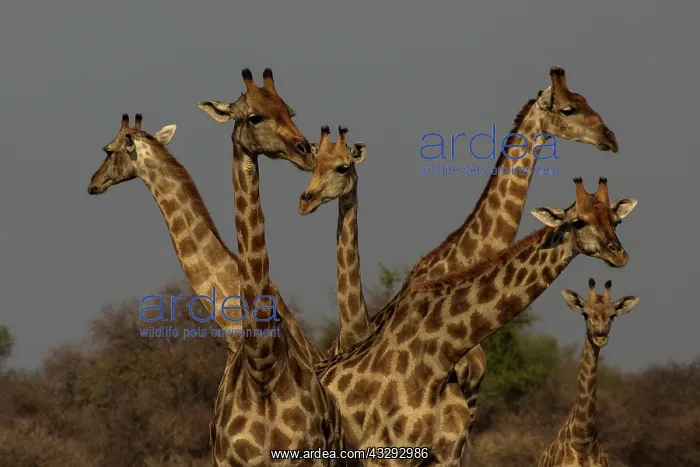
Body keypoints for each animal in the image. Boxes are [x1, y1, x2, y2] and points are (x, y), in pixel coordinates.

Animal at [198, 69, 352, 465]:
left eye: (290, 110)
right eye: (254, 117)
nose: (305, 150)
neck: (262, 365)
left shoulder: (310, 455)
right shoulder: (228, 460)